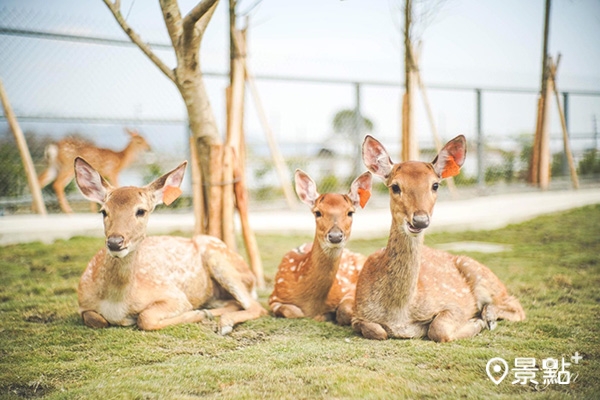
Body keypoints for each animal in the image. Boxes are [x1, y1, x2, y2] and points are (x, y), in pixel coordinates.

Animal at [72, 156, 264, 334]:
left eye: (141, 211)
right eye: (103, 211)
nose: (115, 242)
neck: (116, 303)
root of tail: (251, 277)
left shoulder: (174, 295)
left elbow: (145, 317)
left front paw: (197, 314)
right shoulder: (82, 304)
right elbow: (95, 318)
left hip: (219, 259)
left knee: (256, 306)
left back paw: (222, 323)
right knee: (236, 303)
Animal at [270, 169, 372, 324]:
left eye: (350, 212)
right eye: (317, 212)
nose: (335, 236)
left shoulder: (350, 288)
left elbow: (344, 310)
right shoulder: (274, 297)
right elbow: (293, 311)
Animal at [352, 135, 524, 340]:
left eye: (435, 185)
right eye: (395, 186)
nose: (420, 220)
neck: (399, 314)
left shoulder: (454, 304)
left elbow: (438, 328)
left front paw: (476, 322)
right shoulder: (357, 313)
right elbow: (377, 331)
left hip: (480, 274)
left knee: (517, 307)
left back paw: (488, 316)